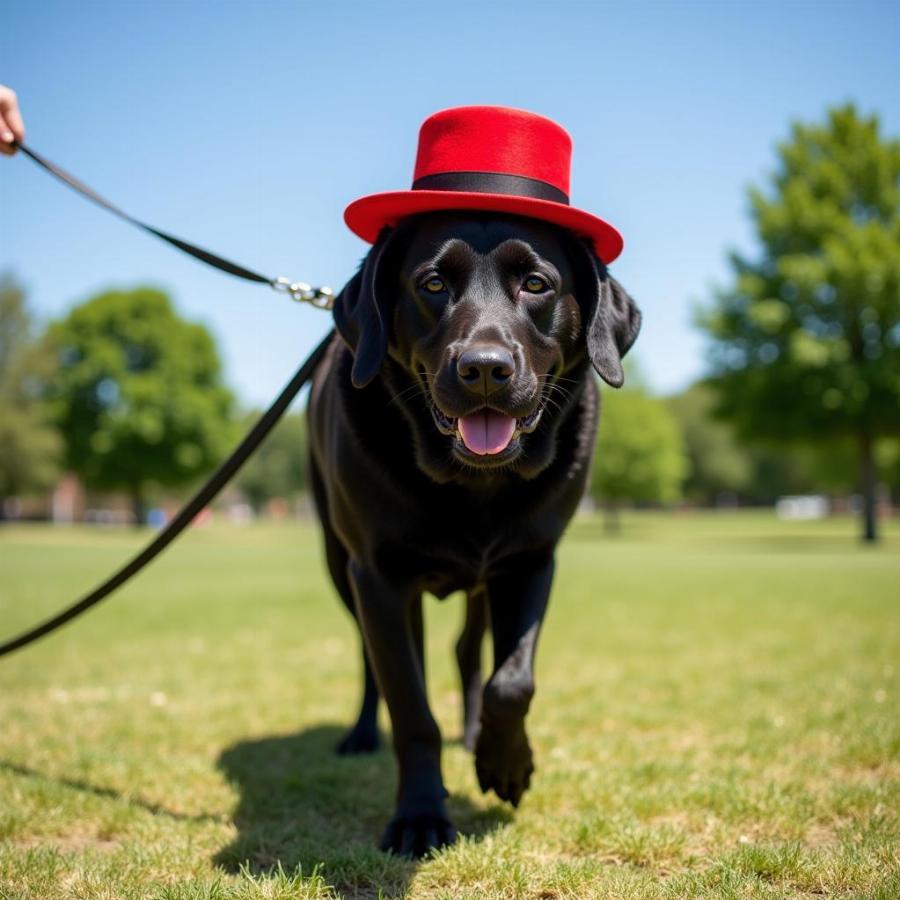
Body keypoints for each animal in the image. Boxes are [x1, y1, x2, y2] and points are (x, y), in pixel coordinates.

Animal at [310, 211, 640, 856]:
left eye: (536, 284)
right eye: (433, 284)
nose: (485, 368)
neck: (474, 485)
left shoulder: (531, 562)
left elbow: (511, 680)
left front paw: (505, 763)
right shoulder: (378, 576)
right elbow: (410, 708)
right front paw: (418, 816)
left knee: (466, 650)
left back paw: (471, 734)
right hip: (340, 564)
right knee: (374, 658)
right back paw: (364, 734)